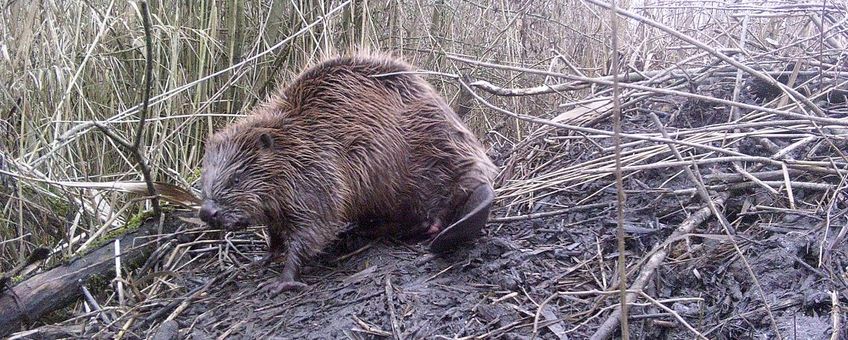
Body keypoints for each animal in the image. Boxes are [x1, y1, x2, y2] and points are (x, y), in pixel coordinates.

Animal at [199, 51, 496, 294]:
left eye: (236, 178)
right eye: (204, 180)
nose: (207, 213)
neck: (296, 142)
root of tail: (478, 180)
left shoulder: (318, 174)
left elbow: (315, 226)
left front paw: (282, 281)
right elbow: (275, 231)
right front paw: (263, 257)